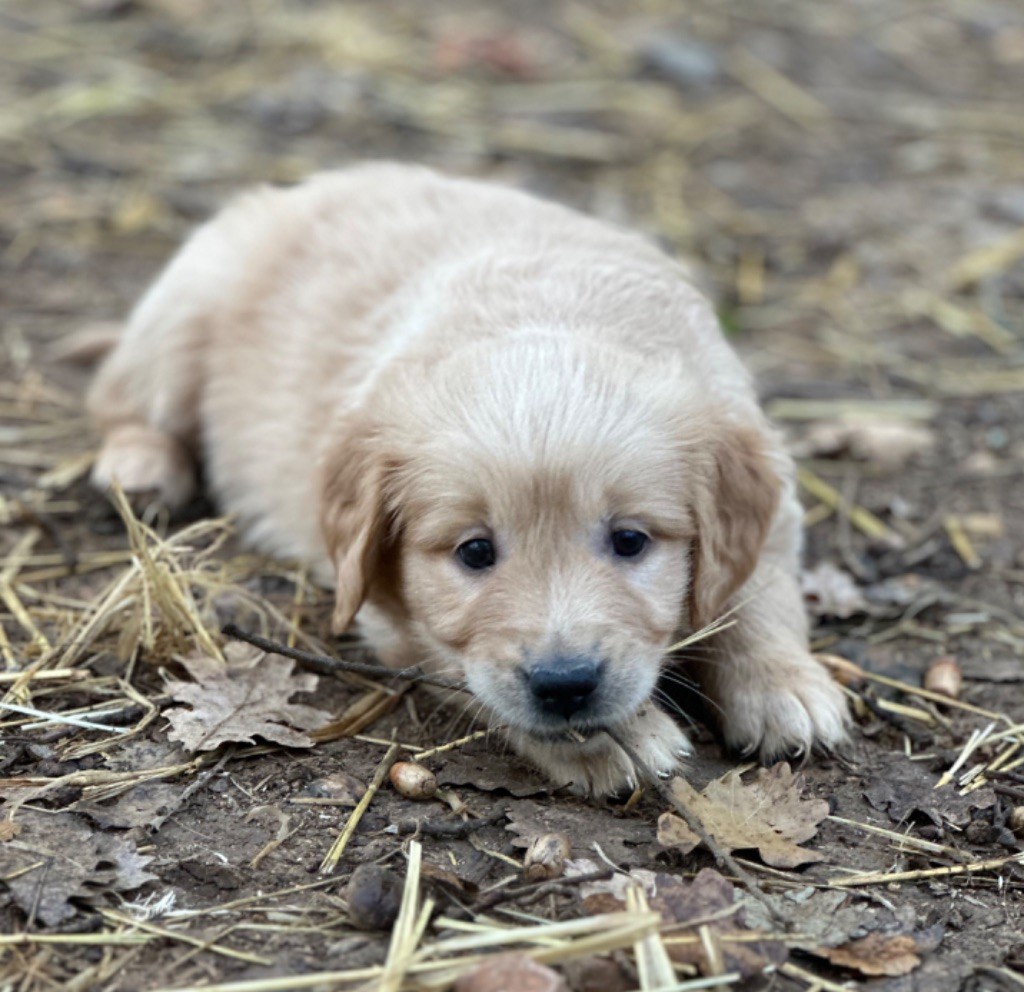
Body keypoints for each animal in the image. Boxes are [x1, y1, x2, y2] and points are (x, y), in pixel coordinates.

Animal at [88, 164, 843, 798]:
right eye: (475, 552)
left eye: (631, 541)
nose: (565, 686)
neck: (551, 311)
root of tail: (313, 182)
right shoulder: (393, 616)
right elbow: (462, 666)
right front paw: (613, 736)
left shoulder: (768, 499)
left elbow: (755, 591)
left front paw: (783, 685)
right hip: (182, 313)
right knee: (123, 399)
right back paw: (141, 468)